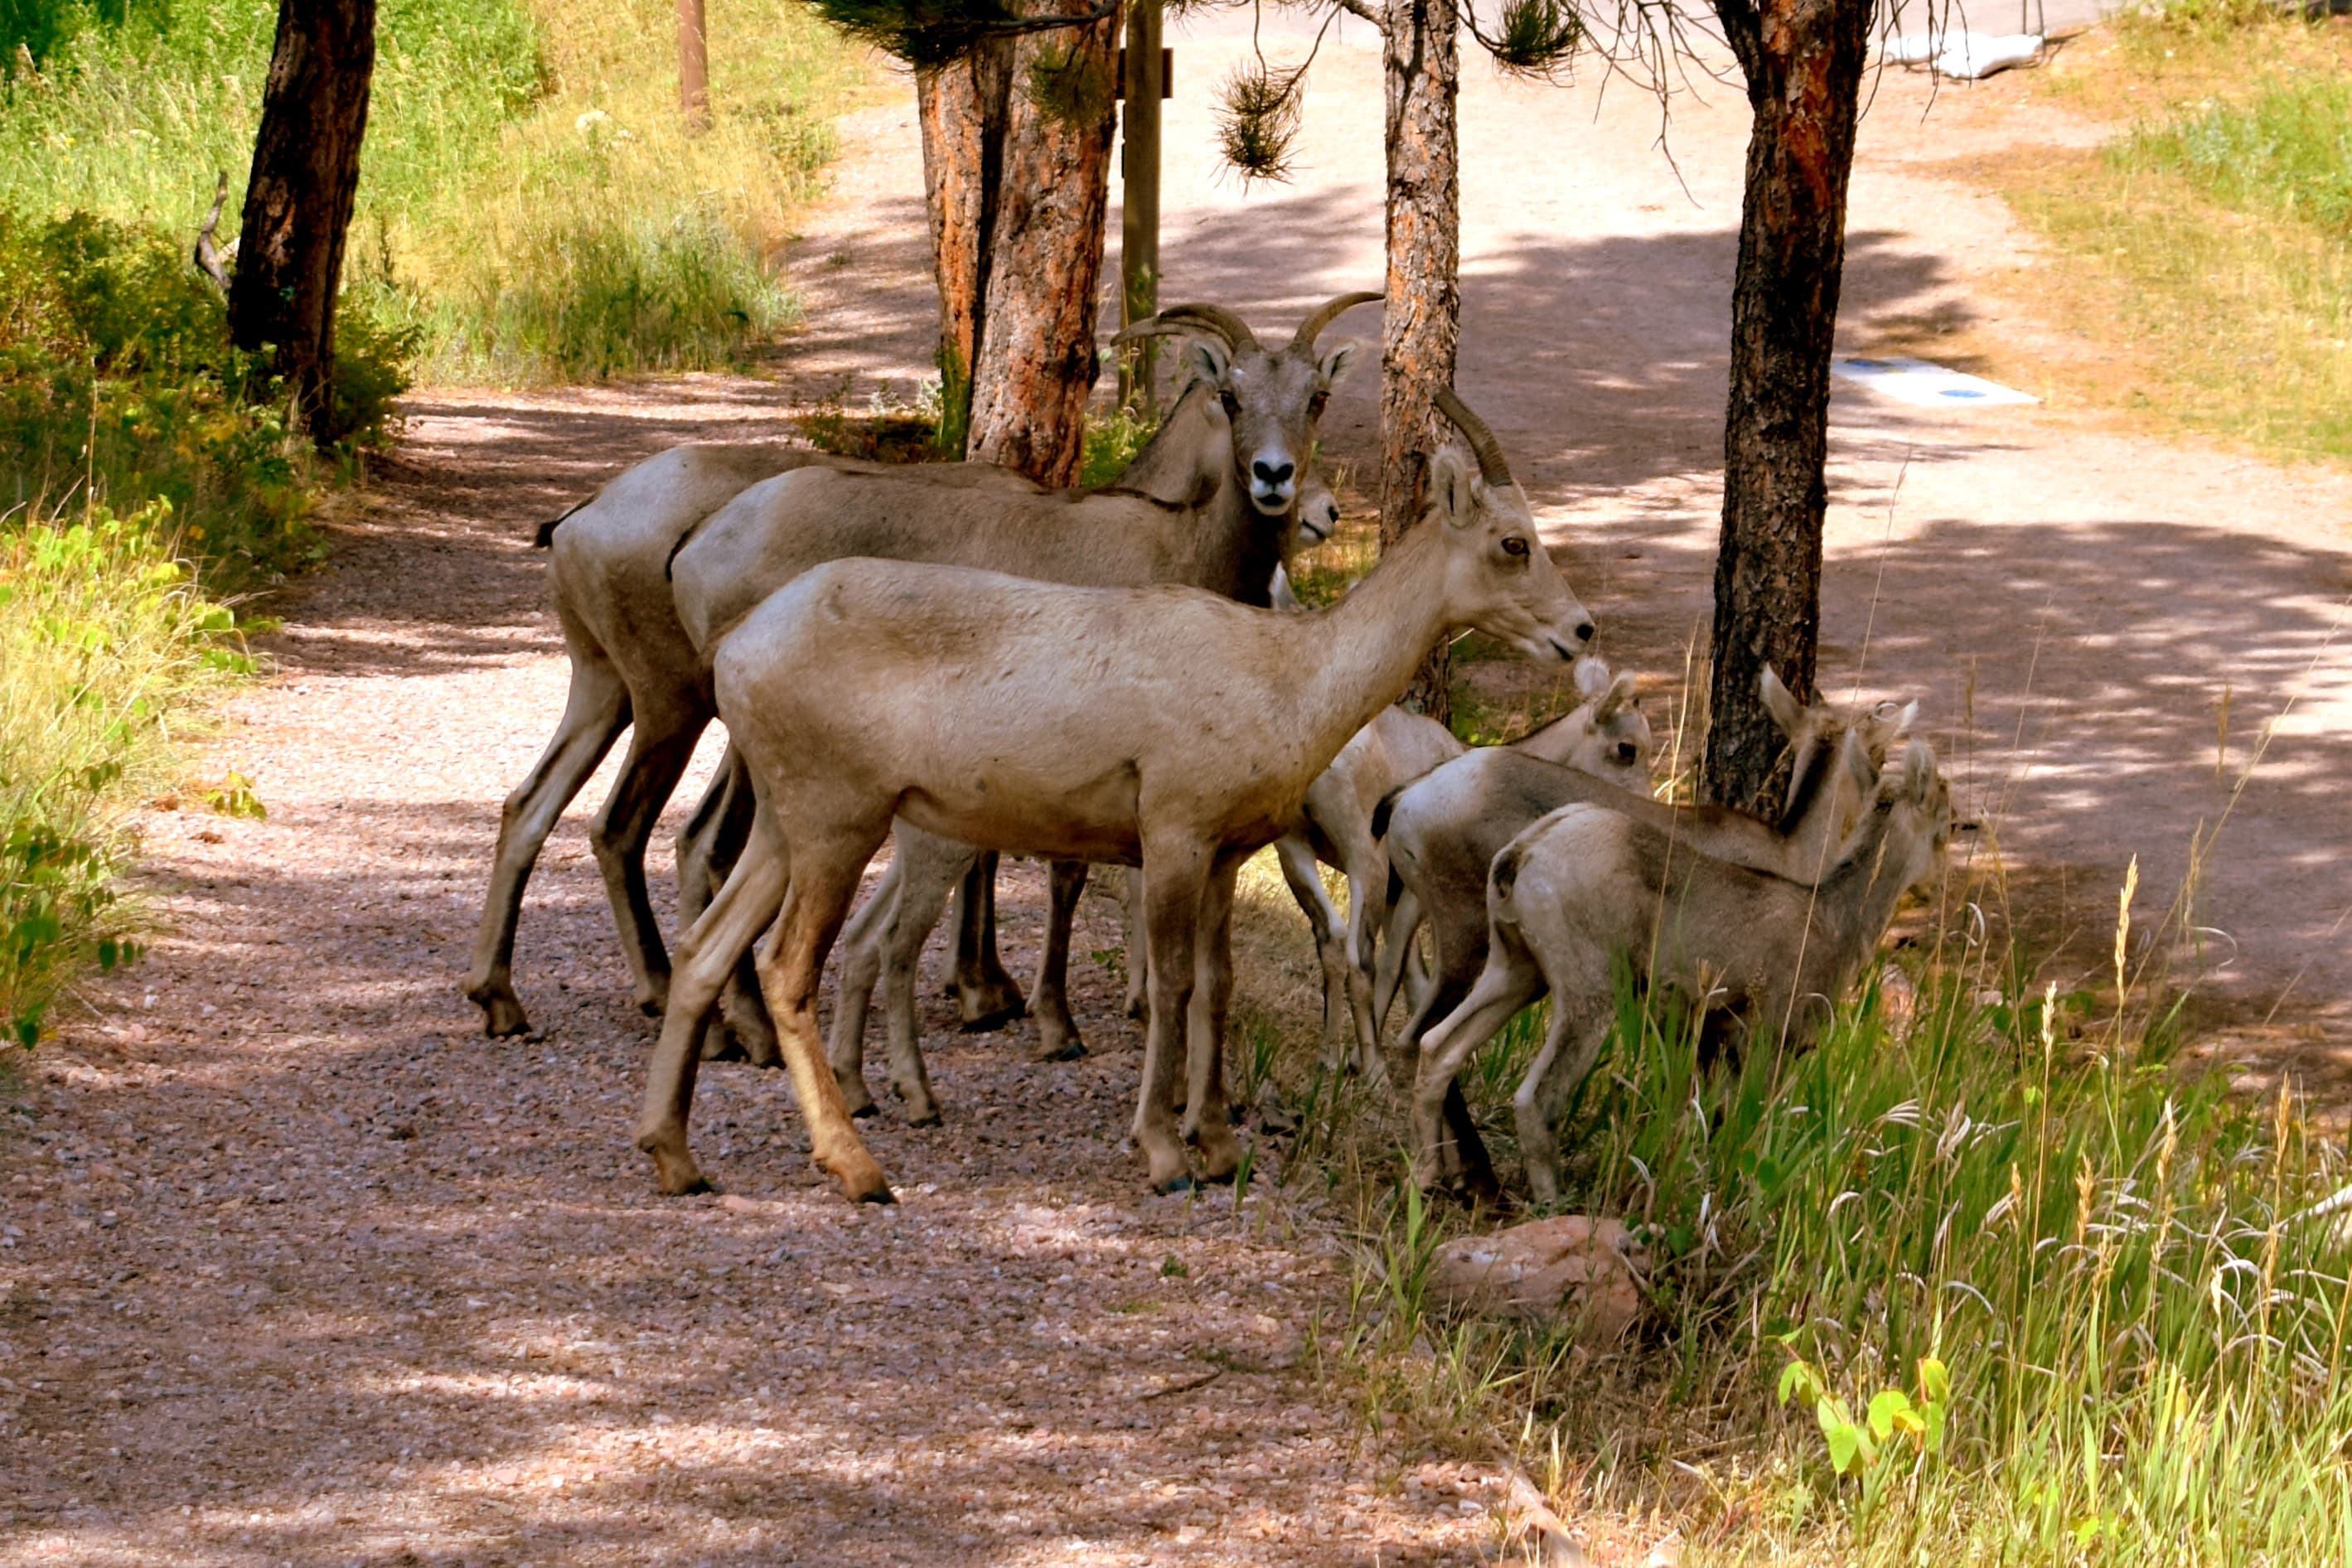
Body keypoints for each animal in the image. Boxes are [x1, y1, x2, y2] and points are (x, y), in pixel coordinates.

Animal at [630, 391, 1597, 1202]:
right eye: (1513, 541)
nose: (1581, 628)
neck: (1284, 675)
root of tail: (737, 648)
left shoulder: (1224, 850)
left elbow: (1217, 982)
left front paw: (1220, 1145)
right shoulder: (1171, 831)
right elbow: (1169, 981)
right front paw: (1164, 1152)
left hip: (786, 822)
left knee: (711, 945)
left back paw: (676, 1158)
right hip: (838, 816)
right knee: (785, 965)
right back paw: (857, 1166)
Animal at [1372, 671, 1913, 1189]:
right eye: (1880, 753)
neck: (1795, 856)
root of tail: (1404, 800)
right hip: (1469, 936)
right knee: (1419, 1039)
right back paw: (1467, 1175)